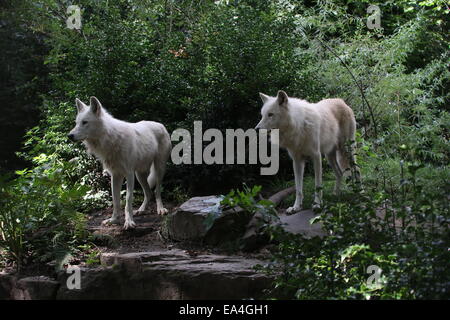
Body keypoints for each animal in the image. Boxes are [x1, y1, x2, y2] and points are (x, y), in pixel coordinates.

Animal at [67, 96, 171, 229]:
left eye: (85, 122)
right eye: (76, 123)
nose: (69, 135)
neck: (111, 139)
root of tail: (160, 124)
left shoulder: (129, 174)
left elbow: (128, 199)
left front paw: (129, 222)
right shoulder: (115, 175)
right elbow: (115, 201)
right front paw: (113, 220)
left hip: (158, 169)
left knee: (157, 191)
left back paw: (161, 209)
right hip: (140, 175)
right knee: (148, 193)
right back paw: (141, 210)